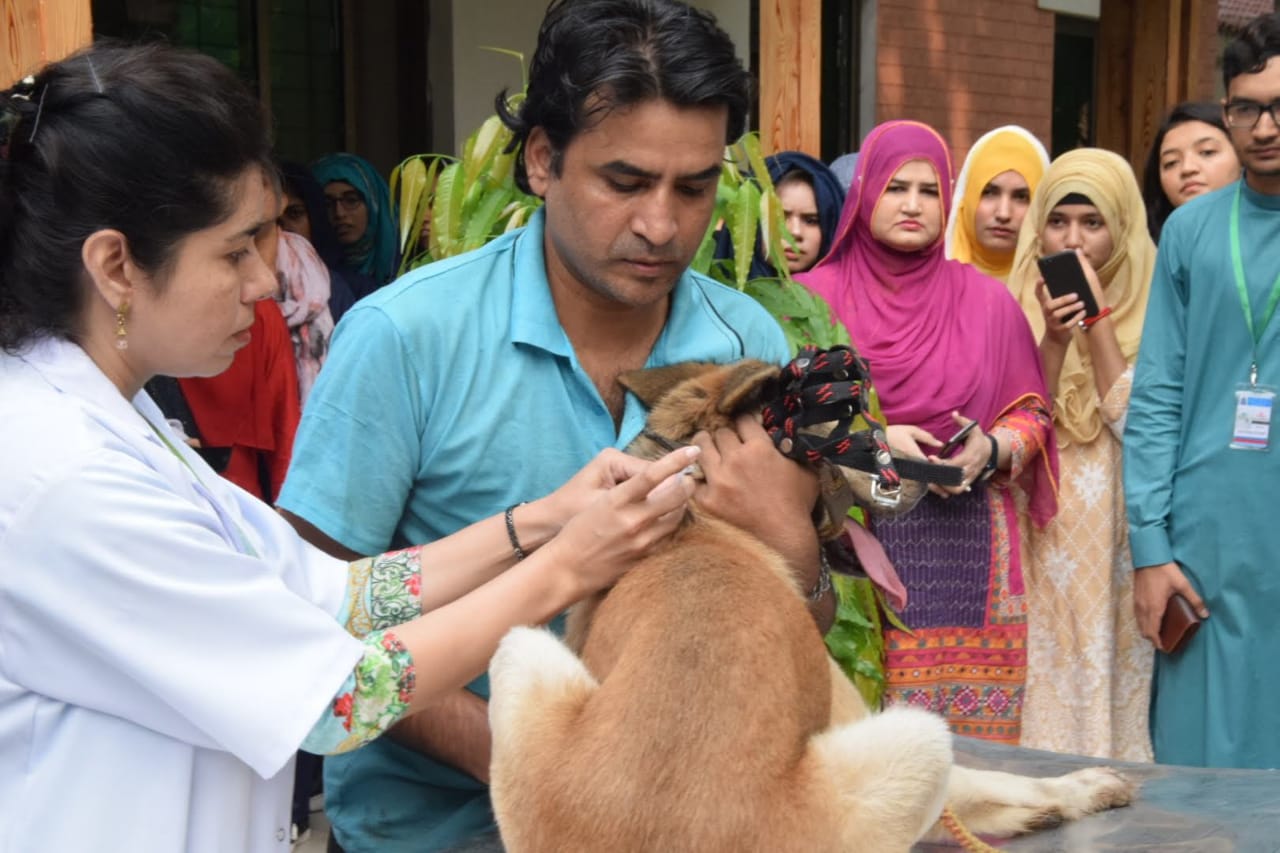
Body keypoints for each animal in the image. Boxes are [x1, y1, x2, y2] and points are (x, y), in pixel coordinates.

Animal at [486, 356, 1131, 845]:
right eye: (858, 435)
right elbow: (987, 779)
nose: (935, 465)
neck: (698, 516)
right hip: (917, 739)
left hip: (518, 652)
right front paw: (1077, 789)